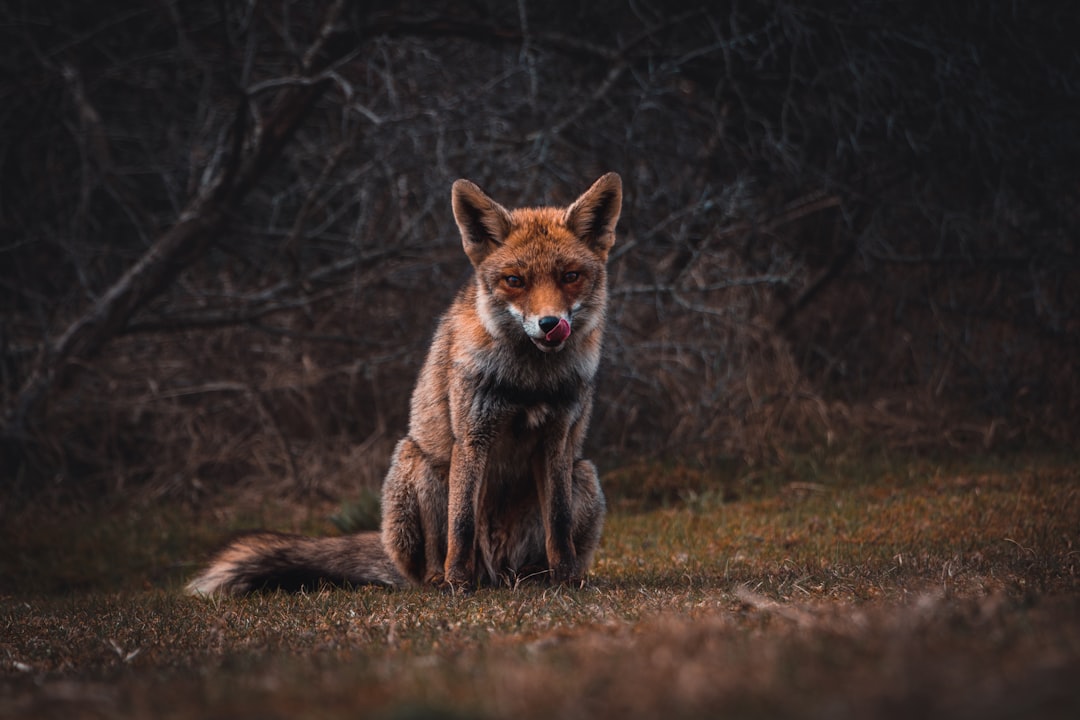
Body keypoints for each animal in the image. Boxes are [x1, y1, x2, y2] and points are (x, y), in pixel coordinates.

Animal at [187, 171, 626, 595]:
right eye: (515, 280)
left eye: (570, 276)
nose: (550, 324)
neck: (530, 383)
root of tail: (498, 573)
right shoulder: (473, 436)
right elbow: (461, 523)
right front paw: (457, 585)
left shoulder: (557, 440)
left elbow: (558, 524)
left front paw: (567, 580)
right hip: (420, 464)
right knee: (436, 554)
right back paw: (443, 580)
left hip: (583, 473)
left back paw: (540, 577)